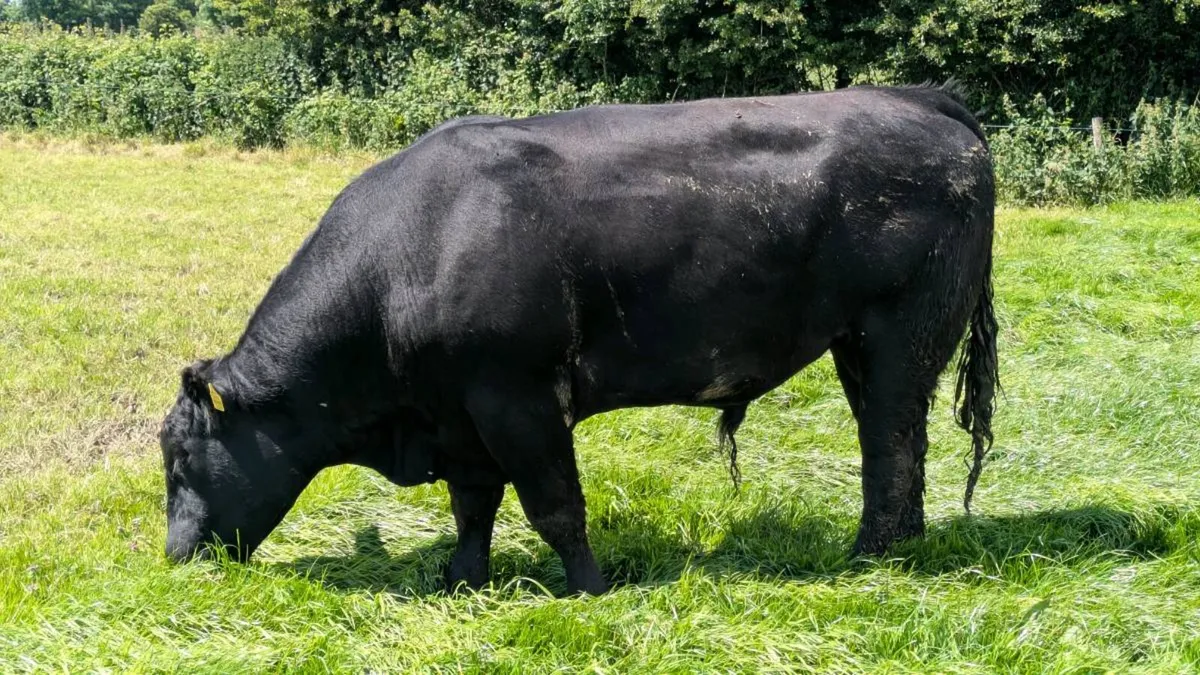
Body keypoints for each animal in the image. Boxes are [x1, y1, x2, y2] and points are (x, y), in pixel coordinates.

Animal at [160, 84, 998, 595]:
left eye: (178, 459)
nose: (174, 558)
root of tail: (914, 97)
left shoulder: (518, 396)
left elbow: (555, 504)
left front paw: (590, 588)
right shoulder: (459, 413)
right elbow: (473, 505)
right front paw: (461, 579)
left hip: (902, 331)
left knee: (891, 441)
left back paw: (870, 555)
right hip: (858, 340)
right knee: (901, 439)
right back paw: (901, 543)